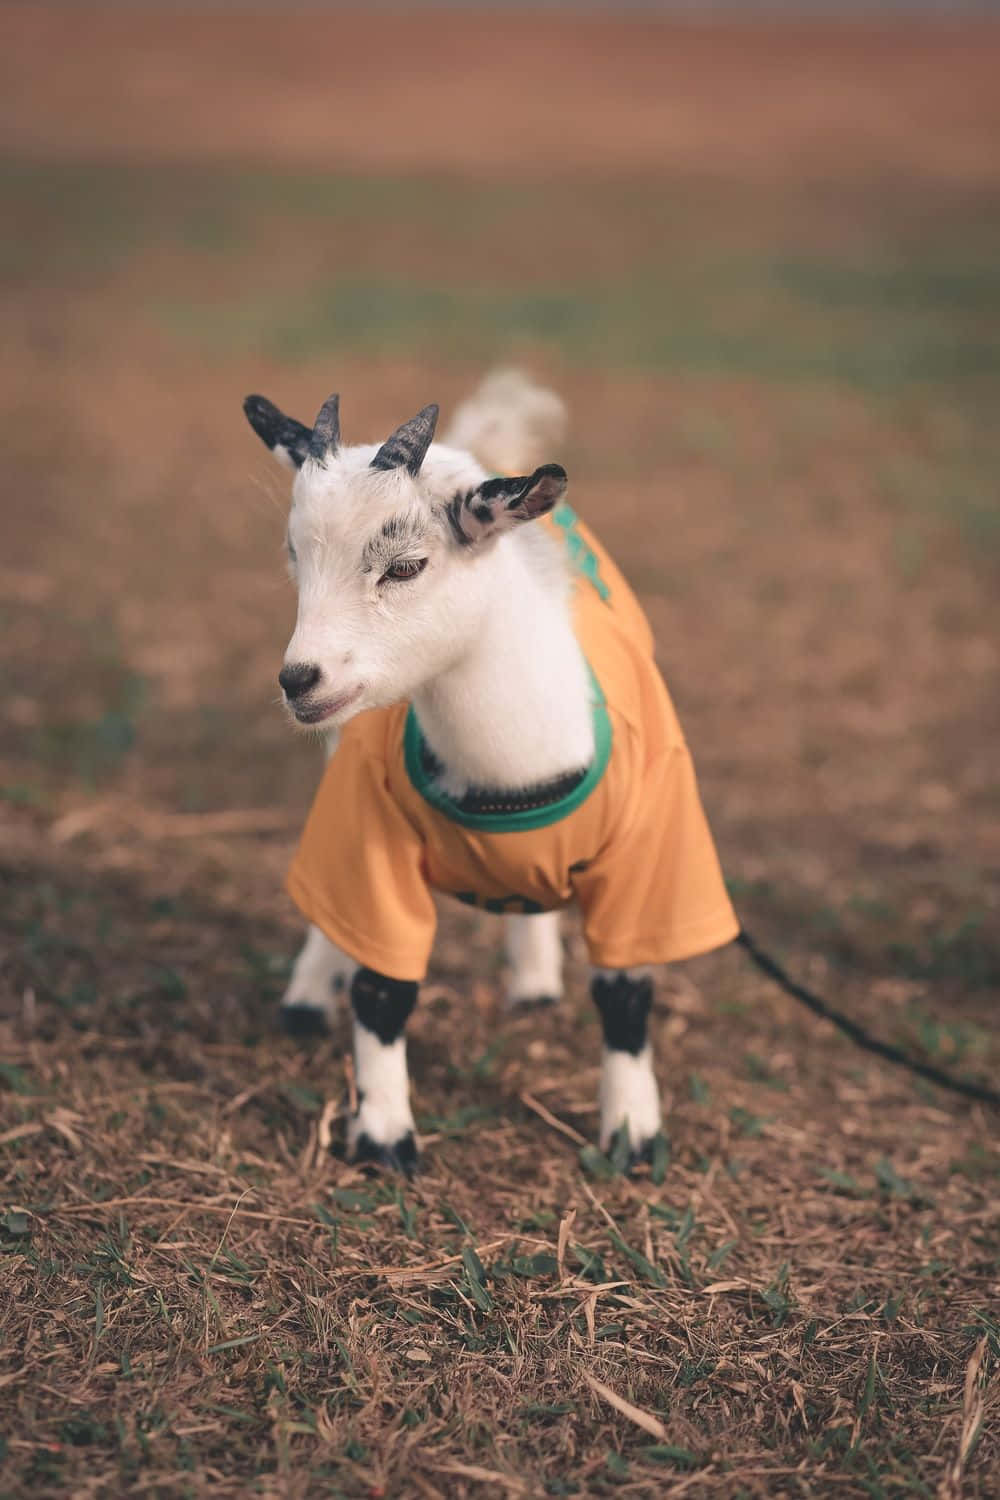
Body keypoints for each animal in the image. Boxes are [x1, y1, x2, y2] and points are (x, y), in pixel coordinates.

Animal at [243, 371, 738, 1171]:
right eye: (294, 554)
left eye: (406, 565)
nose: (299, 680)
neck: (511, 773)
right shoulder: (371, 832)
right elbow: (381, 984)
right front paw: (384, 1137)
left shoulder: (650, 855)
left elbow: (628, 995)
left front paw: (633, 1136)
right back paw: (308, 997)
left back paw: (534, 983)